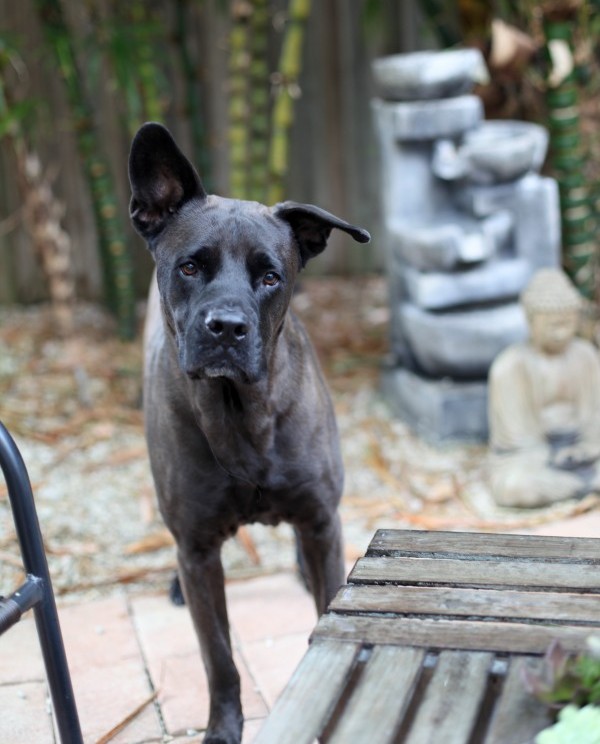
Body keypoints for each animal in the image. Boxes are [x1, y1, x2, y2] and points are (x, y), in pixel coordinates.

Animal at [129, 123, 368, 744]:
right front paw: (222, 727)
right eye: (190, 267)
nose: (227, 329)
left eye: (270, 276)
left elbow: (324, 605)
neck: (241, 415)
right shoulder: (197, 549)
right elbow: (219, 657)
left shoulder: (320, 517)